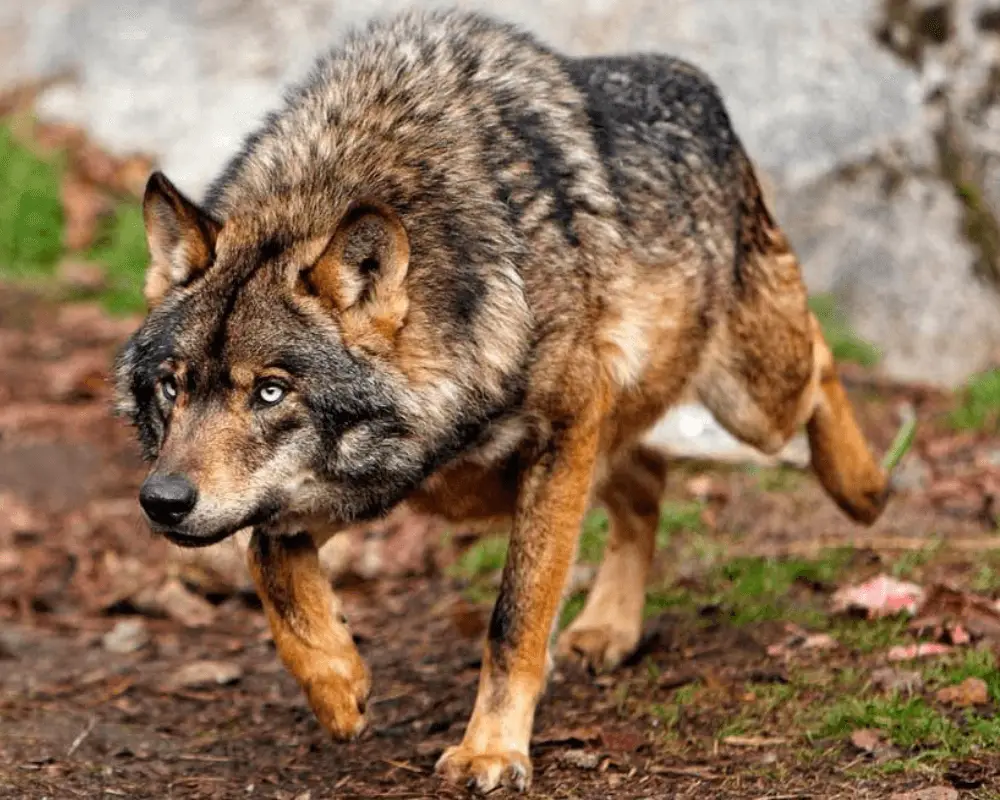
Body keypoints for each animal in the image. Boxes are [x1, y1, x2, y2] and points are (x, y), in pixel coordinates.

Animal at [114, 8, 892, 793]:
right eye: (173, 386)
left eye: (271, 391)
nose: (163, 501)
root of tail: (692, 79)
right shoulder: (380, 478)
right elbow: (269, 557)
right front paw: (337, 684)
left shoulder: (561, 434)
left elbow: (514, 617)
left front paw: (490, 750)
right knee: (647, 478)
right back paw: (608, 628)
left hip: (749, 401)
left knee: (821, 359)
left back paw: (864, 489)